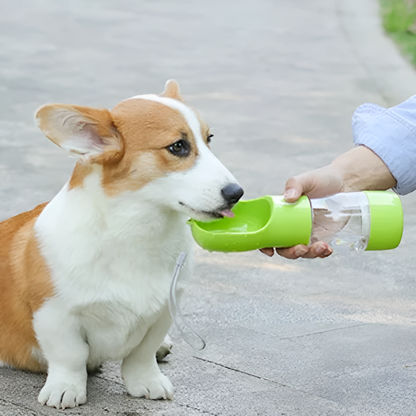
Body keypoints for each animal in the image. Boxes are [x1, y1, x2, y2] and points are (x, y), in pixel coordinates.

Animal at [0, 80, 244, 410]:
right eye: (178, 146)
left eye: (209, 139)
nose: (237, 193)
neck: (137, 232)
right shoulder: (54, 313)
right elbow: (70, 356)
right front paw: (65, 389)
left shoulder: (163, 311)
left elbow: (141, 354)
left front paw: (147, 382)